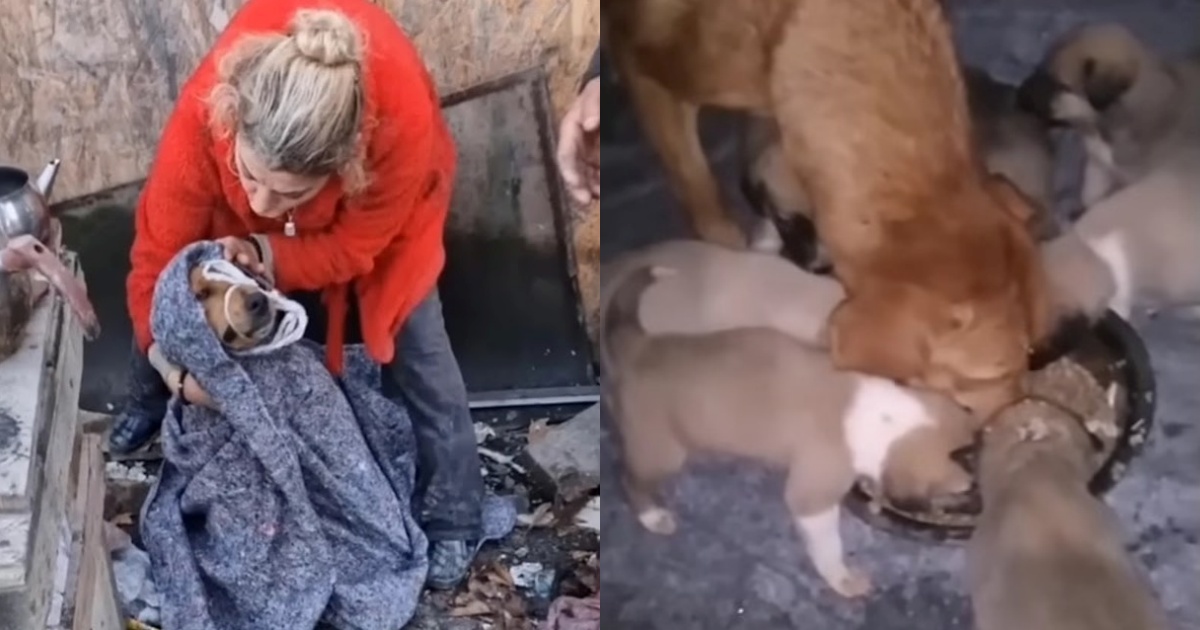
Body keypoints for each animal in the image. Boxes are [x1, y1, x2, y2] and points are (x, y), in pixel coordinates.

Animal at [604, 255, 979, 595]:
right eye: (960, 490)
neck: (886, 415)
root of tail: (640, 345)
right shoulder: (812, 498)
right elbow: (828, 547)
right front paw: (843, 580)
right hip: (661, 451)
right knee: (630, 479)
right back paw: (653, 517)